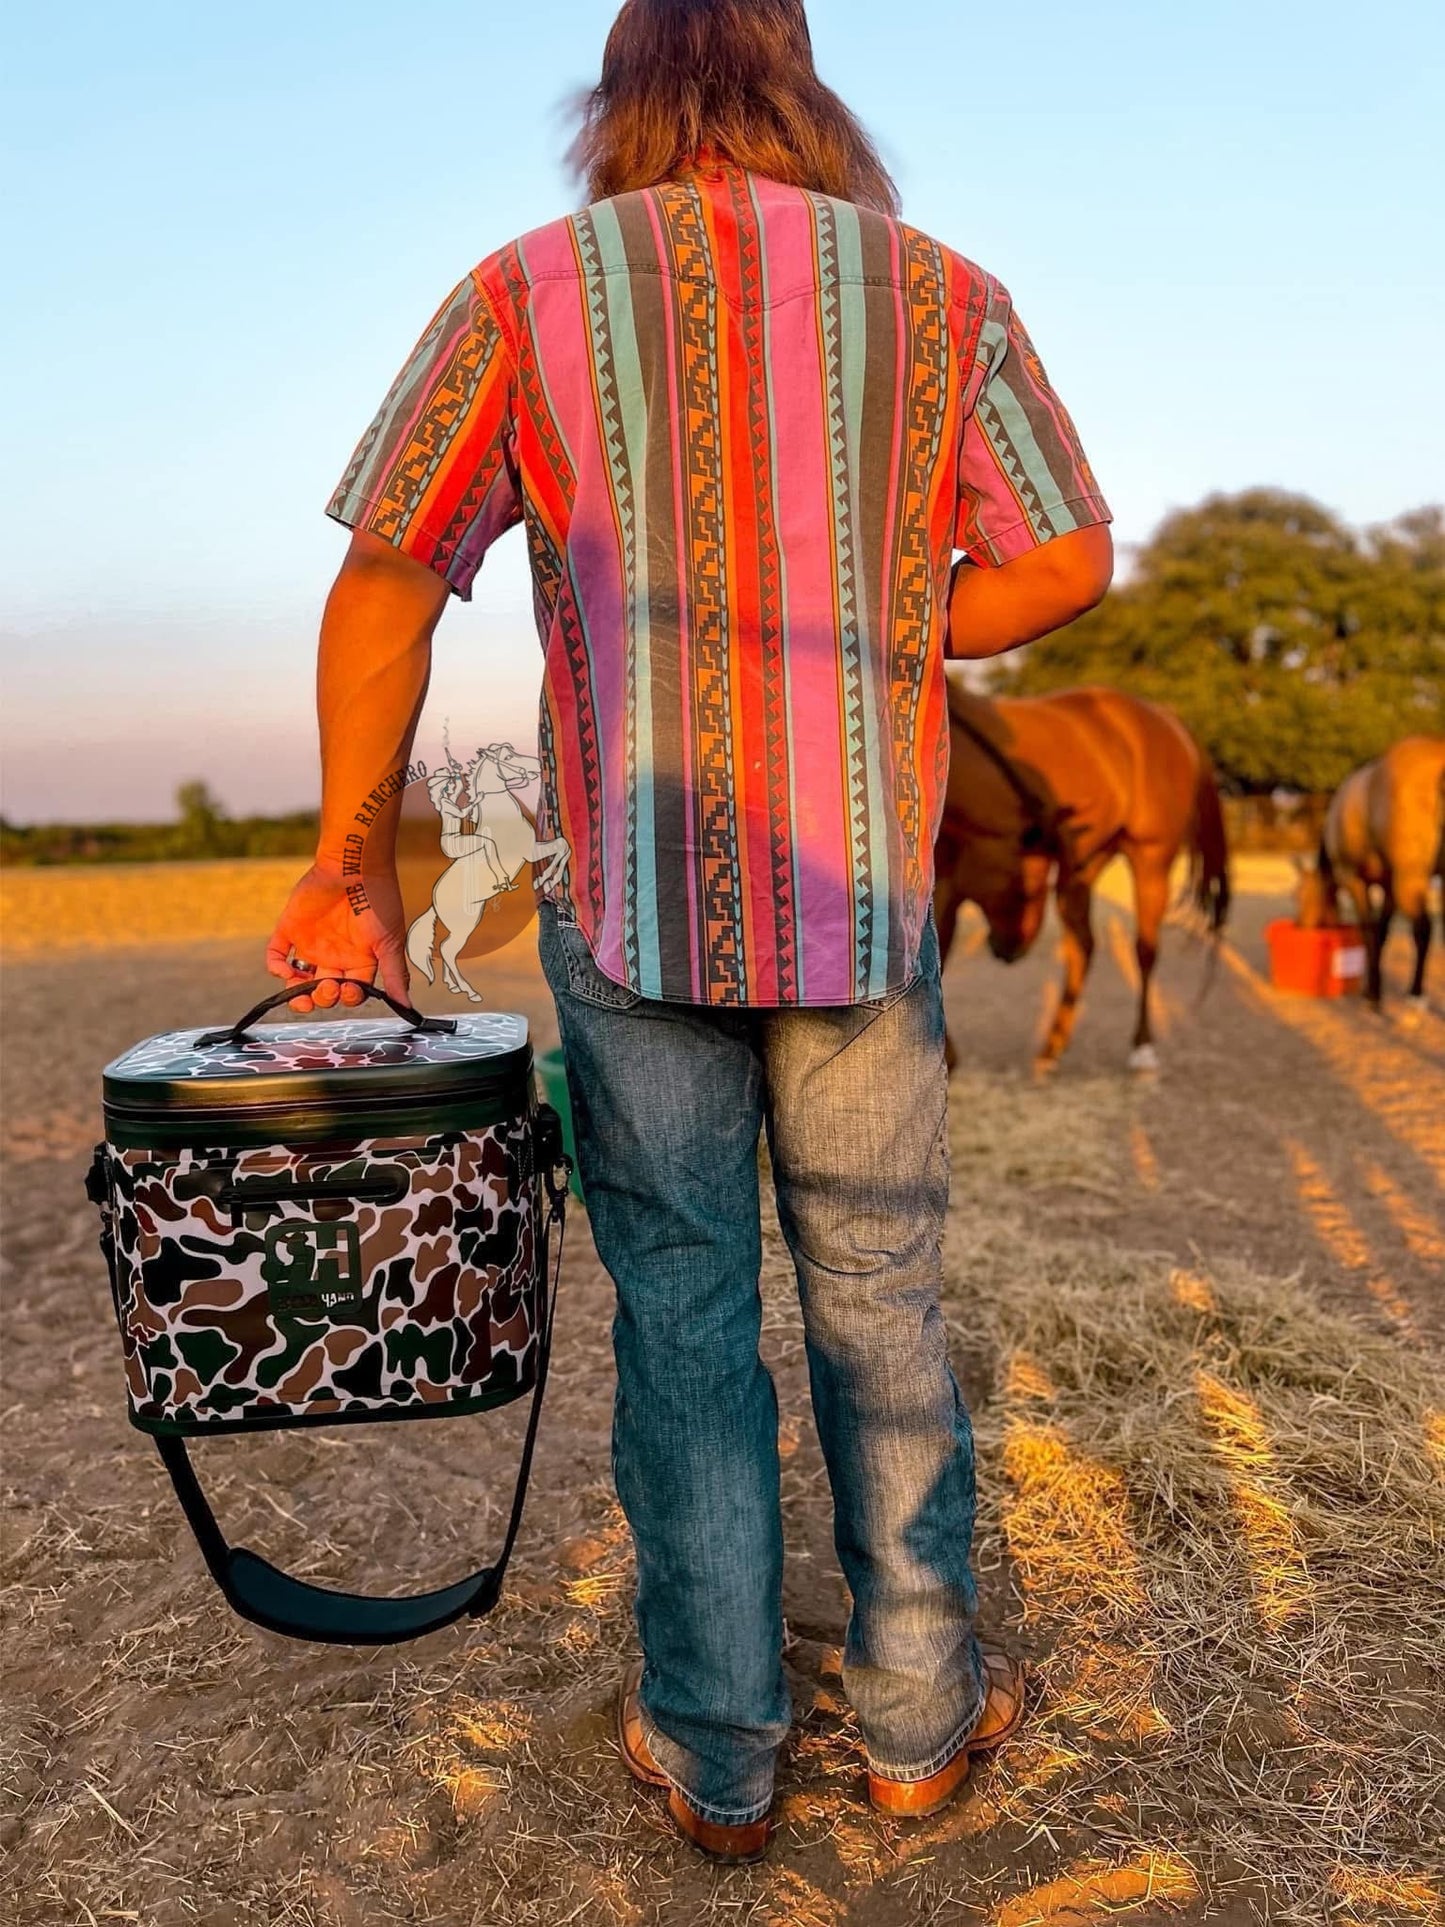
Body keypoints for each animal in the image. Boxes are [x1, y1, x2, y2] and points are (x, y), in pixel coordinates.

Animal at [940, 682, 1233, 1079]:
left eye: (1032, 888)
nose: (1009, 949)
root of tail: (1165, 716)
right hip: (1086, 863)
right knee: (1084, 945)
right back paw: (1052, 1048)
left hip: (1151, 859)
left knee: (1144, 950)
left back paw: (1142, 1048)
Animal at [1294, 732, 1441, 1009]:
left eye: (1298, 895)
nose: (1299, 926)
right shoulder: (1388, 884)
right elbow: (1381, 931)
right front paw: (1374, 987)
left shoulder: (1354, 879)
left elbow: (1368, 930)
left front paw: (1372, 994)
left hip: (1410, 879)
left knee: (1423, 929)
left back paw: (1416, 994)